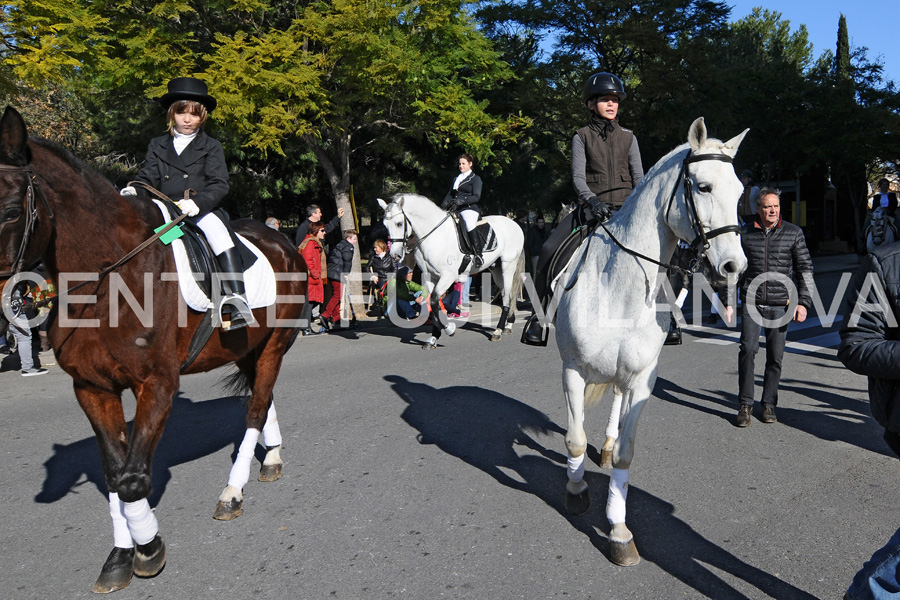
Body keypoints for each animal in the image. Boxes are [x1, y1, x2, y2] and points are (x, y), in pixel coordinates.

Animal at [0, 106, 306, 592]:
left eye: (11, 210)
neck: (107, 279)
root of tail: (281, 240)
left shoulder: (157, 384)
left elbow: (132, 480)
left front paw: (147, 549)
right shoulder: (92, 387)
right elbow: (115, 473)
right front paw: (120, 557)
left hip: (274, 344)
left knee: (255, 409)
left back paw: (232, 491)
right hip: (246, 349)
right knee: (263, 396)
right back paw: (271, 457)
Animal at [376, 196, 524, 346]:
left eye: (399, 224)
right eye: (385, 225)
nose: (395, 255)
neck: (434, 237)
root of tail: (514, 224)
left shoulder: (448, 276)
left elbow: (435, 300)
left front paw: (449, 329)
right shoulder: (430, 276)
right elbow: (433, 303)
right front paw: (433, 338)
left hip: (508, 266)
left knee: (507, 296)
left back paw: (498, 331)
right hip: (496, 270)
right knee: (507, 293)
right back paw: (508, 325)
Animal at [552, 118, 748, 568]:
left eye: (740, 191)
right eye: (703, 187)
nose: (735, 266)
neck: (618, 289)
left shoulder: (643, 379)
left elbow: (626, 453)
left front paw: (618, 530)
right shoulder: (572, 370)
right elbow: (574, 438)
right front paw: (576, 492)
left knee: (616, 403)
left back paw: (607, 445)